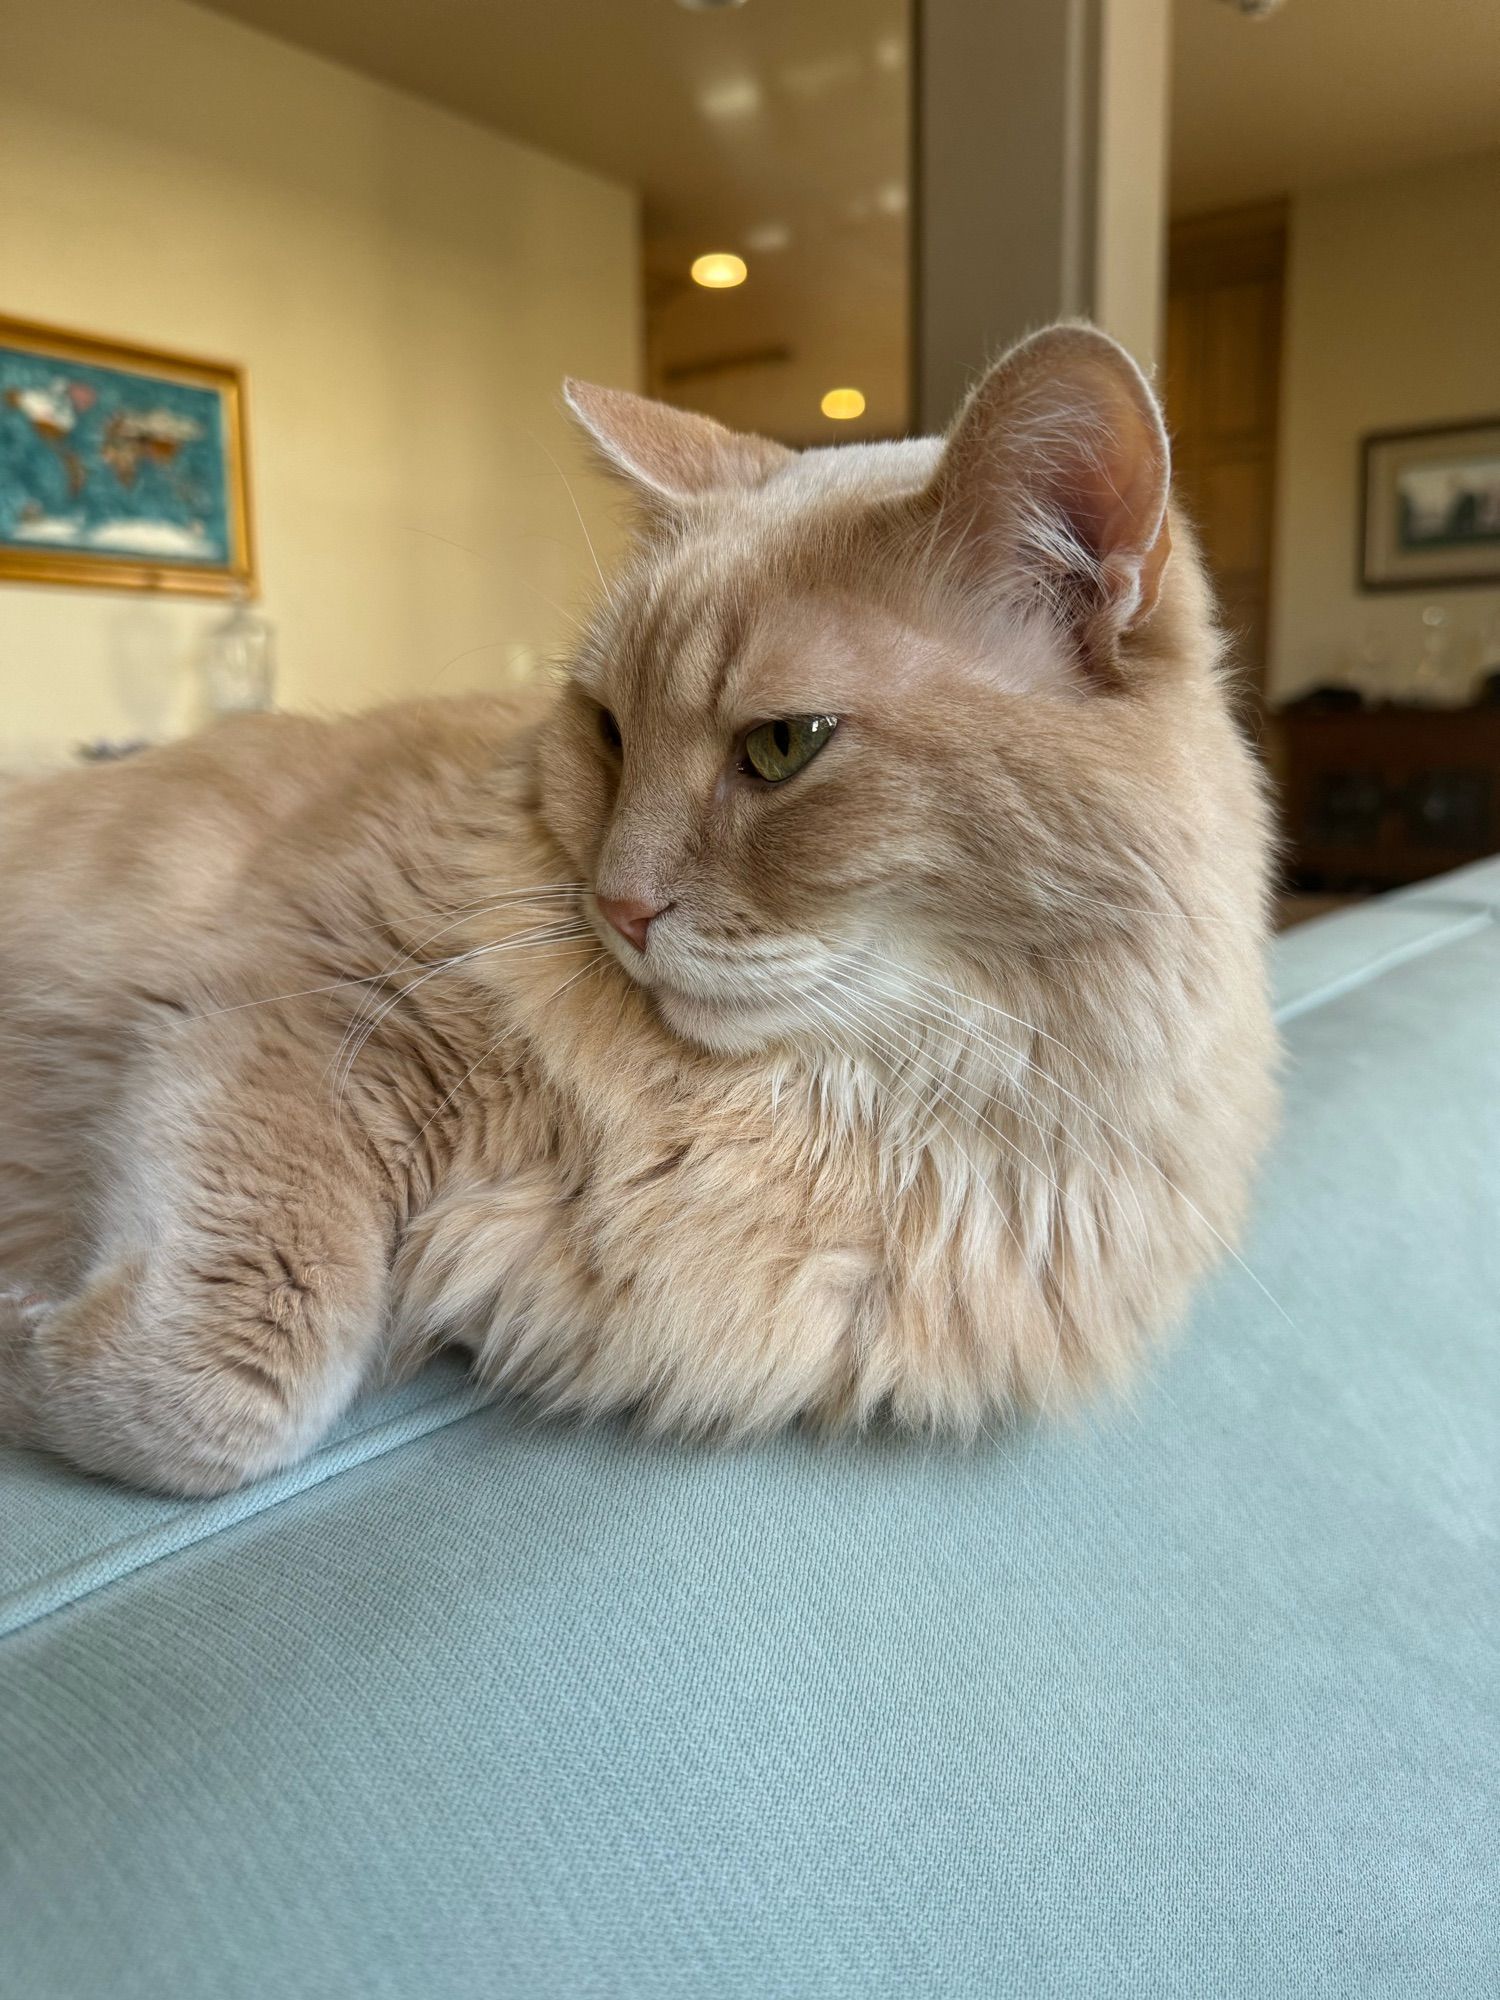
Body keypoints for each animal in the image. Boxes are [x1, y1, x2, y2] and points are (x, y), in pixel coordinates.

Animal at [0, 324, 1280, 1488]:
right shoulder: (280, 1018)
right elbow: (226, 1389)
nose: (617, 906)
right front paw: (22, 1330)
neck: (854, 1114)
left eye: (784, 745)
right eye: (610, 730)